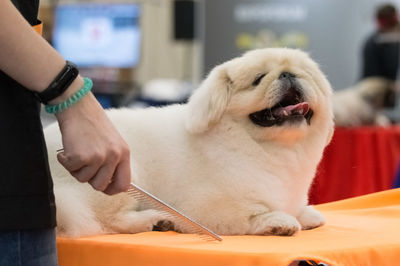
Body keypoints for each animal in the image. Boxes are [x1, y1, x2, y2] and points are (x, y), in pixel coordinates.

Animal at [44, 47, 334, 237]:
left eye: (304, 74)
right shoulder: (203, 208)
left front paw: (306, 214)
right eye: (258, 79)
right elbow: (252, 213)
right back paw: (156, 220)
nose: (287, 74)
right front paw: (279, 221)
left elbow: (298, 208)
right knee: (108, 221)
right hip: (120, 173)